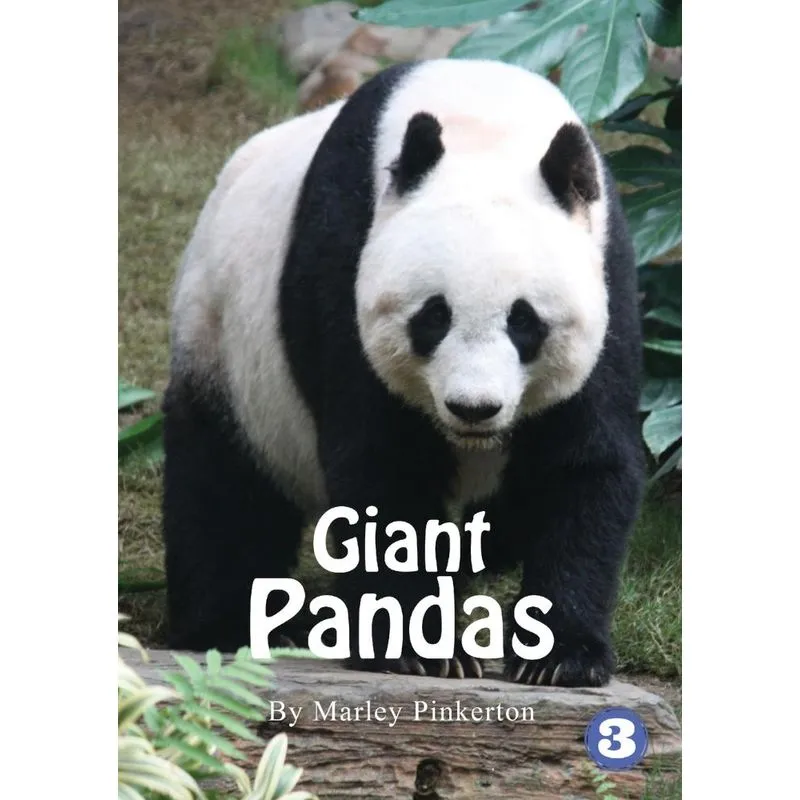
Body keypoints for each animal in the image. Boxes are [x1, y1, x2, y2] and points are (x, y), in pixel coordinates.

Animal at [162, 58, 645, 687]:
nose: (473, 408)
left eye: (525, 322)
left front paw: (559, 656)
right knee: (223, 486)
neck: (484, 124)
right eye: (433, 317)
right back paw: (232, 625)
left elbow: (582, 463)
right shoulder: (343, 259)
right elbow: (383, 468)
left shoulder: (609, 274)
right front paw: (418, 648)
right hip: (224, 343)